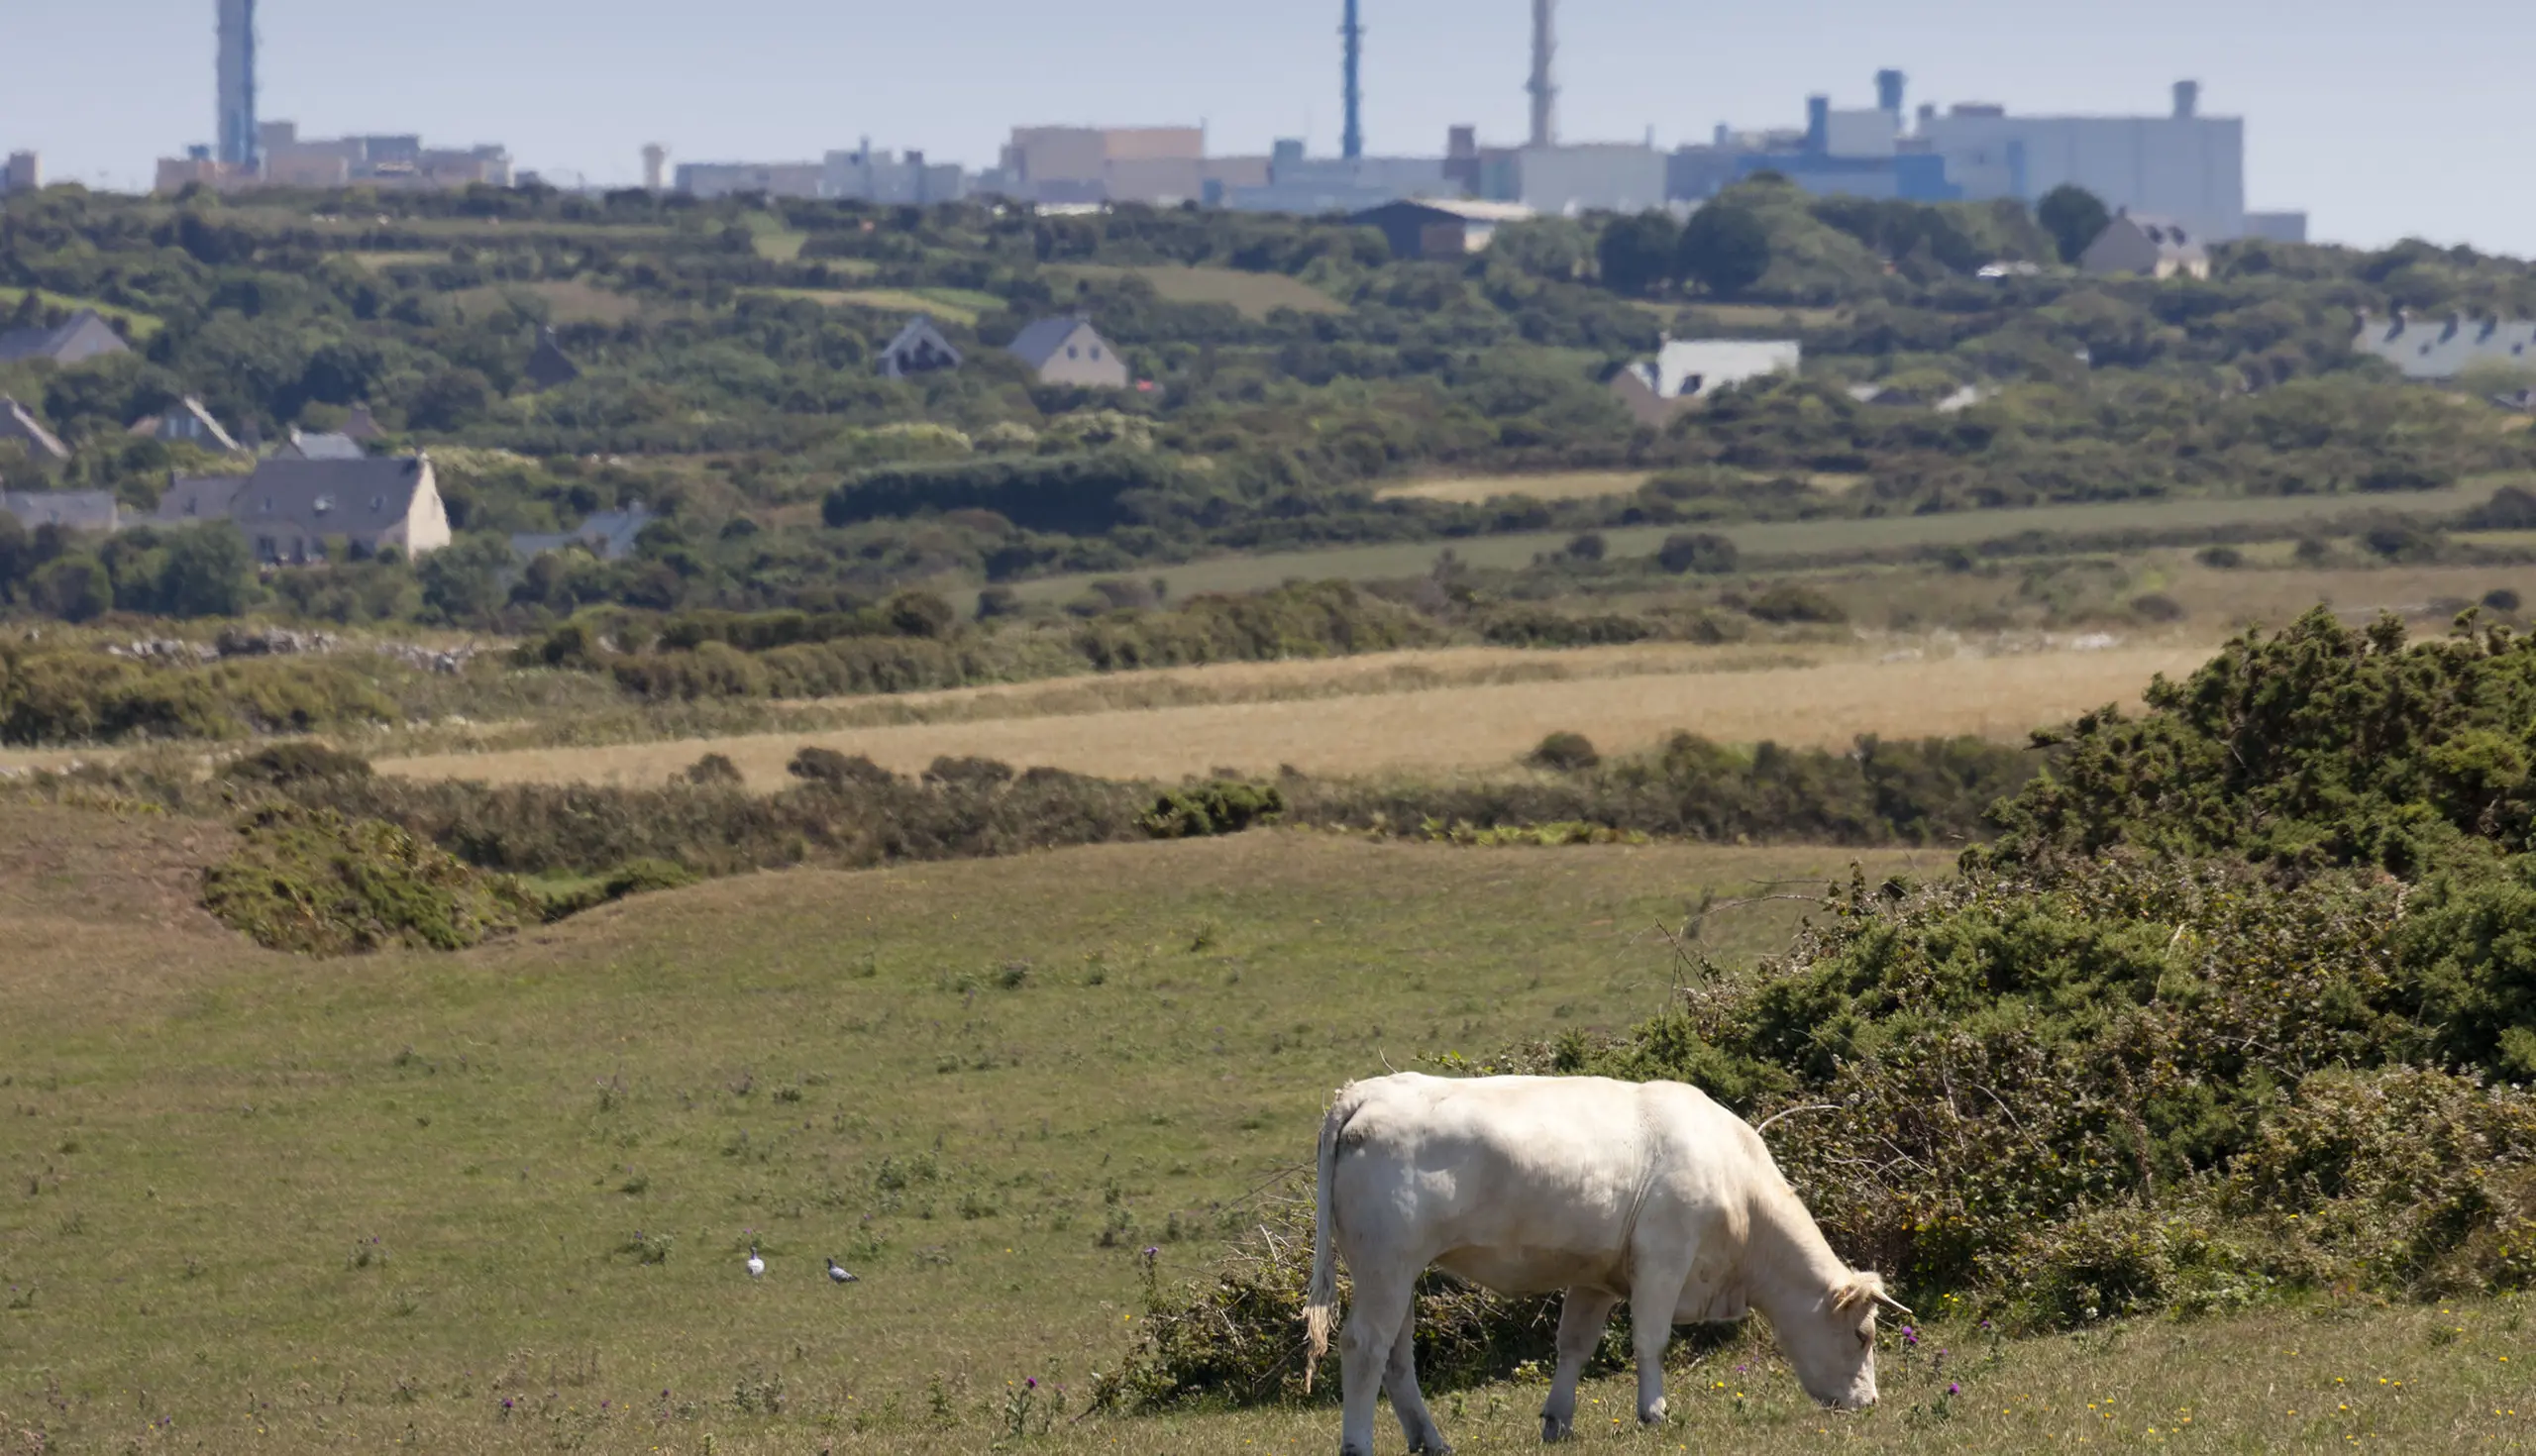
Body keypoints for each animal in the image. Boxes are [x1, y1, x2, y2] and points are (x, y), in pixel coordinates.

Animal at [1308, 1075, 1907, 1456]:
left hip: (1395, 1273)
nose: (1870, 1403)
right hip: (1386, 1265)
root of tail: (1363, 1093)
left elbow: (1574, 1345)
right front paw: (1654, 1412)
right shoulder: (1664, 1257)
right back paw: (1358, 1444)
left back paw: (1431, 1442)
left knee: (1396, 1357)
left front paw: (1558, 1420)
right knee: (1364, 1346)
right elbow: (1650, 1340)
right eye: (1863, 1335)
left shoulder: (1595, 1277)